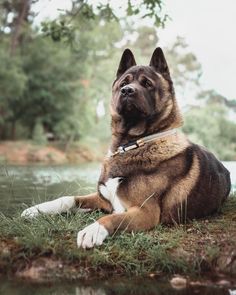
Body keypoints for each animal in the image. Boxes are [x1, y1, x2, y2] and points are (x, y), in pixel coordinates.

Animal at [21, 48, 231, 250]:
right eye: (124, 83)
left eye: (147, 84)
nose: (127, 91)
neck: (131, 144)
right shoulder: (103, 199)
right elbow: (67, 198)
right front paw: (36, 209)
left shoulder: (145, 212)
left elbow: (112, 217)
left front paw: (93, 230)